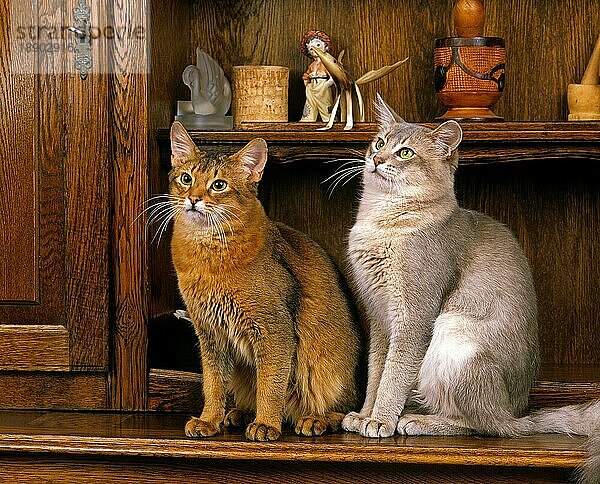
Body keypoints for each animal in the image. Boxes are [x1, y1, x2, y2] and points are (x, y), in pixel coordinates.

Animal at [165, 122, 360, 442]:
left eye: (219, 185)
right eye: (186, 178)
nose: (193, 199)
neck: (207, 254)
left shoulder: (274, 329)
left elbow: (271, 383)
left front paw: (267, 423)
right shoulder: (209, 333)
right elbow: (213, 383)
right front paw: (209, 419)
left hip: (324, 364)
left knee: (346, 408)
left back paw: (315, 419)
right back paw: (239, 414)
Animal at [342, 95, 600, 480]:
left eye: (405, 153)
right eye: (379, 142)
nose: (377, 159)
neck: (381, 223)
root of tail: (518, 412)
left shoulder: (413, 317)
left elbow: (394, 374)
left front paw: (381, 420)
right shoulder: (379, 319)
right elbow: (376, 372)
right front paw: (364, 415)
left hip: (454, 336)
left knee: (484, 426)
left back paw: (417, 422)